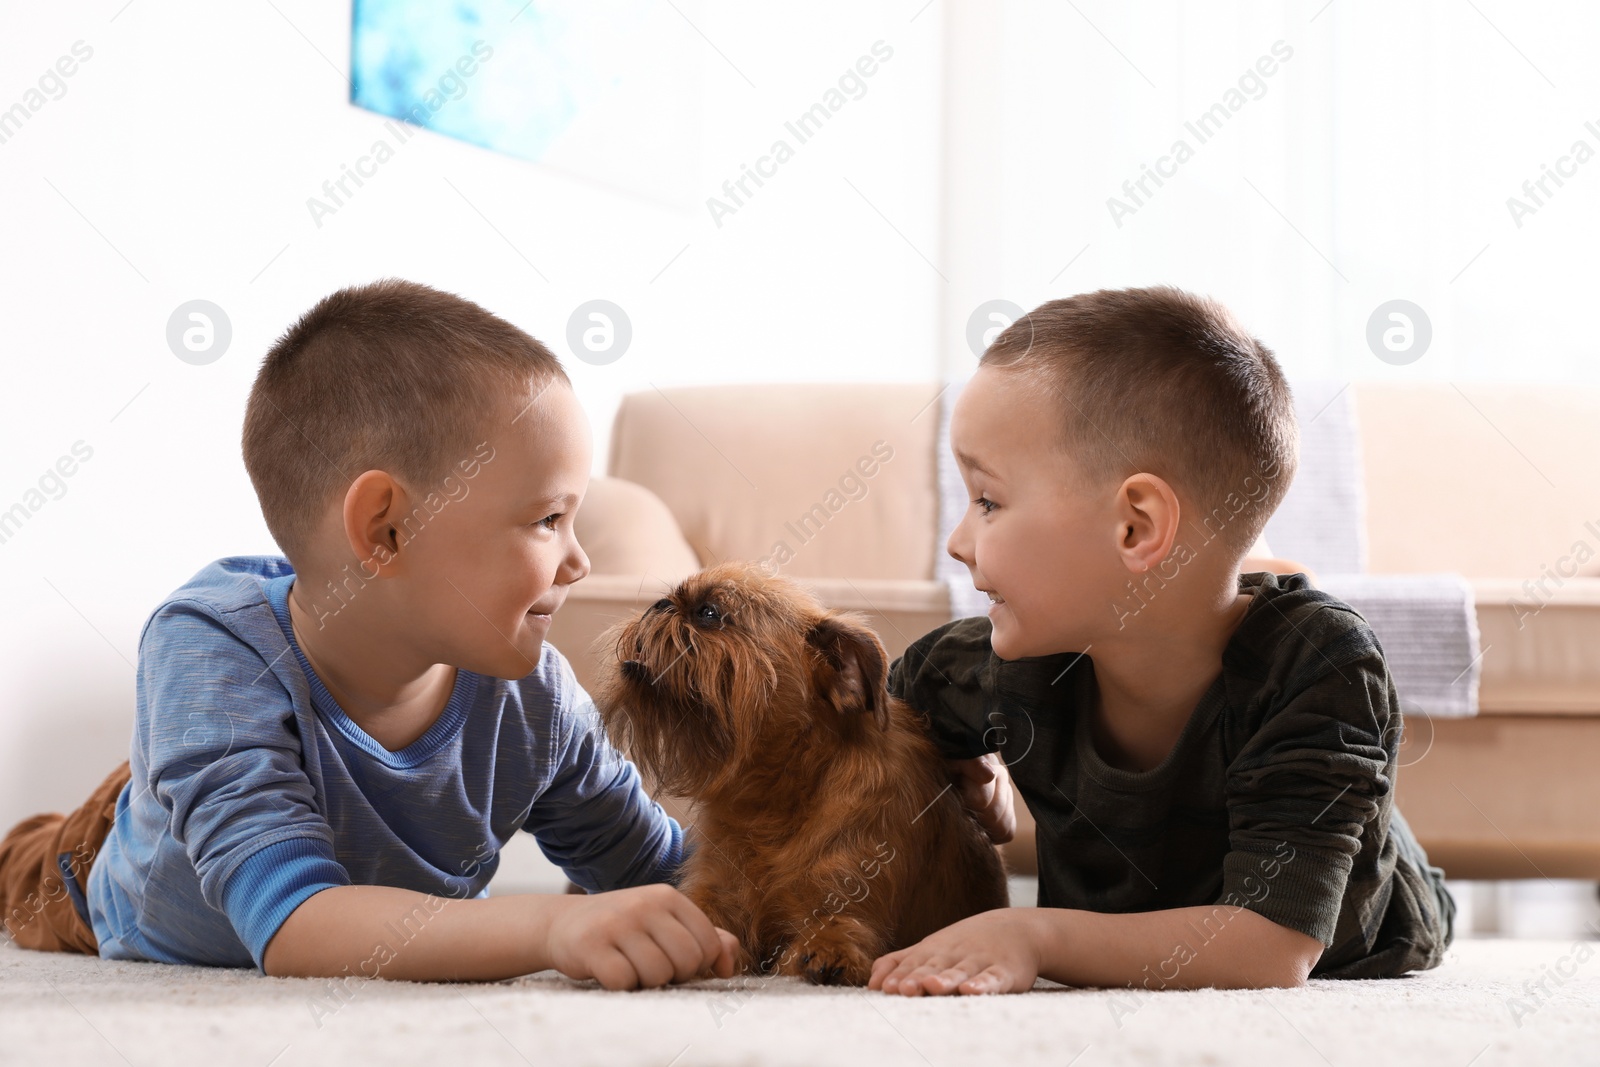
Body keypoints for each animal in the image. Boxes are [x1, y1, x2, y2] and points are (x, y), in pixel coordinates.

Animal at [595, 563, 1004, 991]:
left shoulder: (847, 890)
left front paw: (830, 952)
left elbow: (837, 927)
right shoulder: (718, 893)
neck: (773, 801)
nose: (658, 605)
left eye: (709, 613)